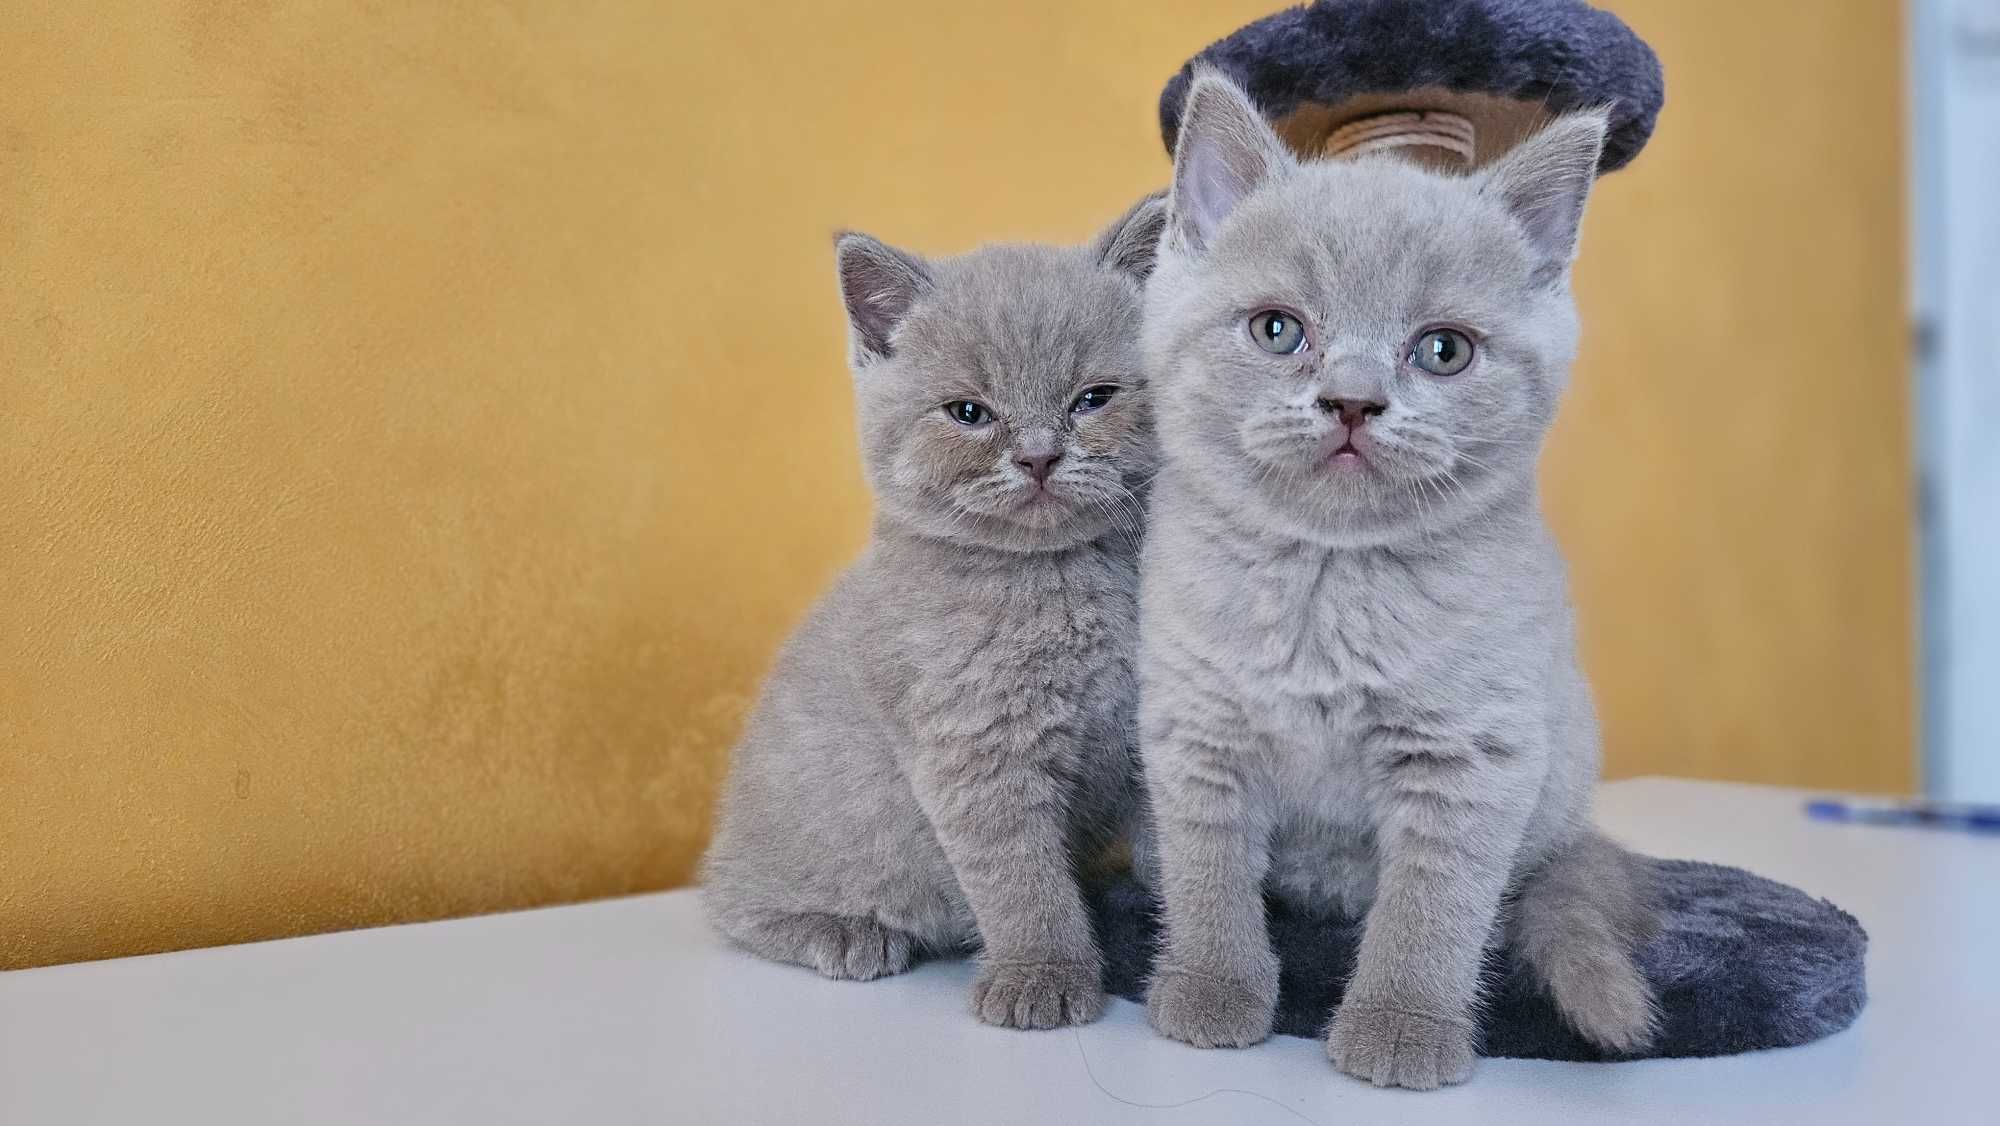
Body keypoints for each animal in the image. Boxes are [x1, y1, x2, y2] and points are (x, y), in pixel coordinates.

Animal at [704, 196, 1168, 1032]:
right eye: (969, 412)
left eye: (1093, 399)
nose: (1040, 456)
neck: (1057, 585)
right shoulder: (973, 750)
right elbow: (1022, 882)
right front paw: (1042, 976)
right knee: (731, 902)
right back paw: (843, 932)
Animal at [1136, 72, 1664, 1096]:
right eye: (1277, 329)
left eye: (1443, 349)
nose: (1351, 400)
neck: (1326, 582)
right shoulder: (1196, 728)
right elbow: (1208, 872)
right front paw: (1214, 989)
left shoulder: (1471, 751)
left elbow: (1432, 905)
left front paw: (1402, 1025)